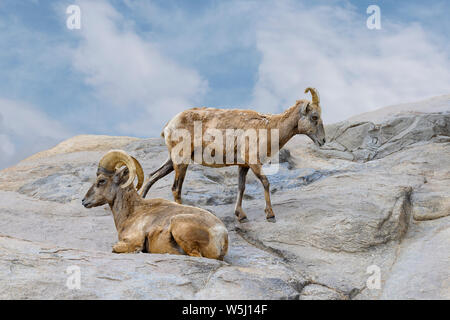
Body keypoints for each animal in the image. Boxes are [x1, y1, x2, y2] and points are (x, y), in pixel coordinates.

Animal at [81, 151, 229, 260]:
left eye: (101, 180)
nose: (84, 201)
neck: (132, 213)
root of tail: (222, 236)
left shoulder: (133, 241)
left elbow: (116, 248)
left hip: (178, 223)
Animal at [142, 87, 326, 222]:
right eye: (314, 116)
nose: (323, 140)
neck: (270, 127)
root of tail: (168, 126)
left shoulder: (243, 165)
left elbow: (241, 187)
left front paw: (240, 215)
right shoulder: (253, 161)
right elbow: (265, 182)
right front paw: (270, 213)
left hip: (172, 160)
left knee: (152, 176)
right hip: (181, 159)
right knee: (176, 188)